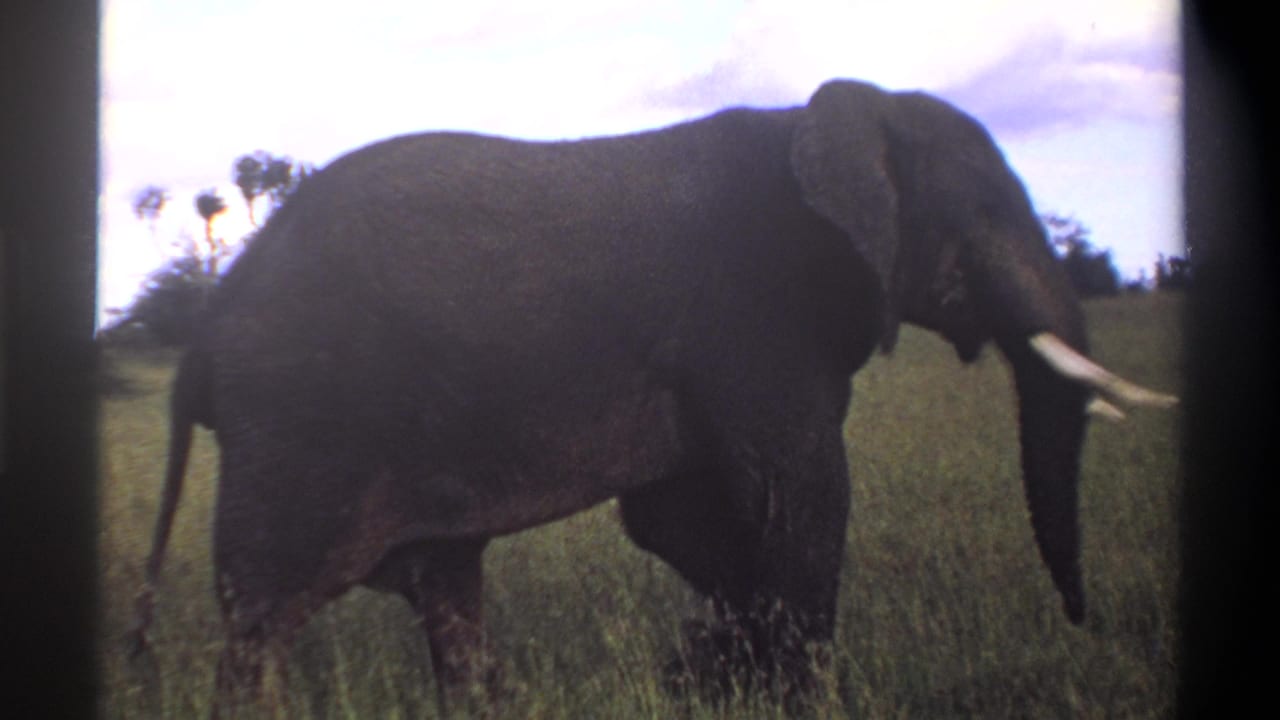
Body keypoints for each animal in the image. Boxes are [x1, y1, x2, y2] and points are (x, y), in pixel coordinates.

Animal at [127, 78, 1176, 714]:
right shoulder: (758, 315)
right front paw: (794, 697)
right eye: (987, 213)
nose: (1081, 622)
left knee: (446, 591)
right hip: (300, 432)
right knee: (264, 621)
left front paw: (712, 677)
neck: (830, 115)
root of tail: (204, 339)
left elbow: (685, 522)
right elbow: (799, 499)